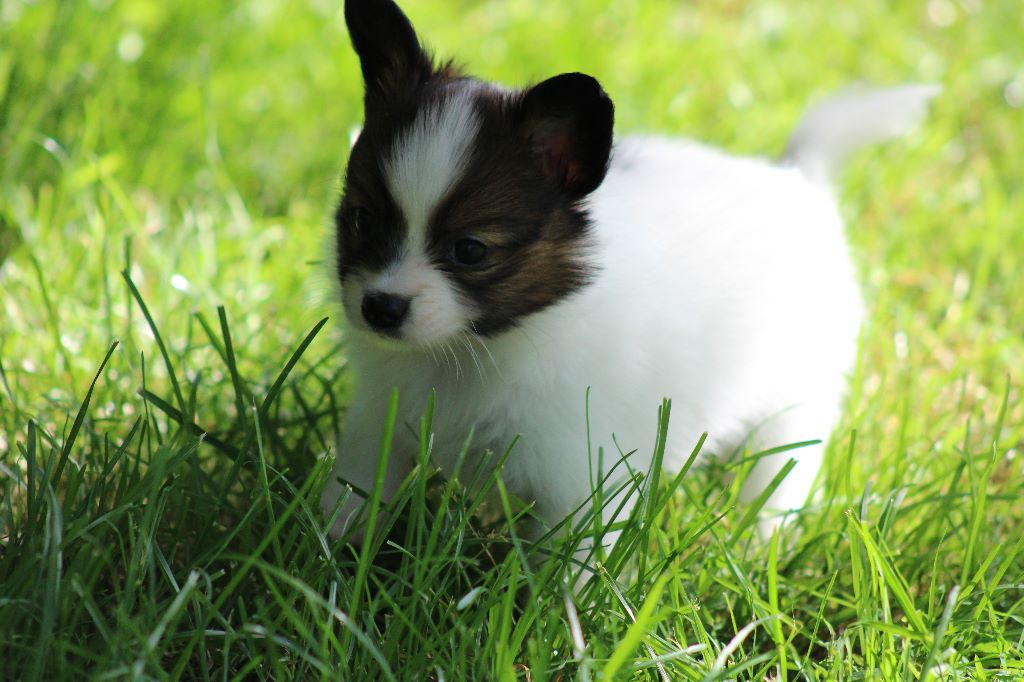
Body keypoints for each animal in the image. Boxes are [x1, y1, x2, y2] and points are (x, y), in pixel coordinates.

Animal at [319, 0, 937, 552]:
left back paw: (757, 545)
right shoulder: (378, 426)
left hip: (796, 400)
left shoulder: (584, 478)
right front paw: (327, 559)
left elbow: (567, 569)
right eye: (362, 219)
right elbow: (354, 498)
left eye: (470, 251)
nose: (380, 307)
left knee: (782, 470)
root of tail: (796, 177)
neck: (472, 350)